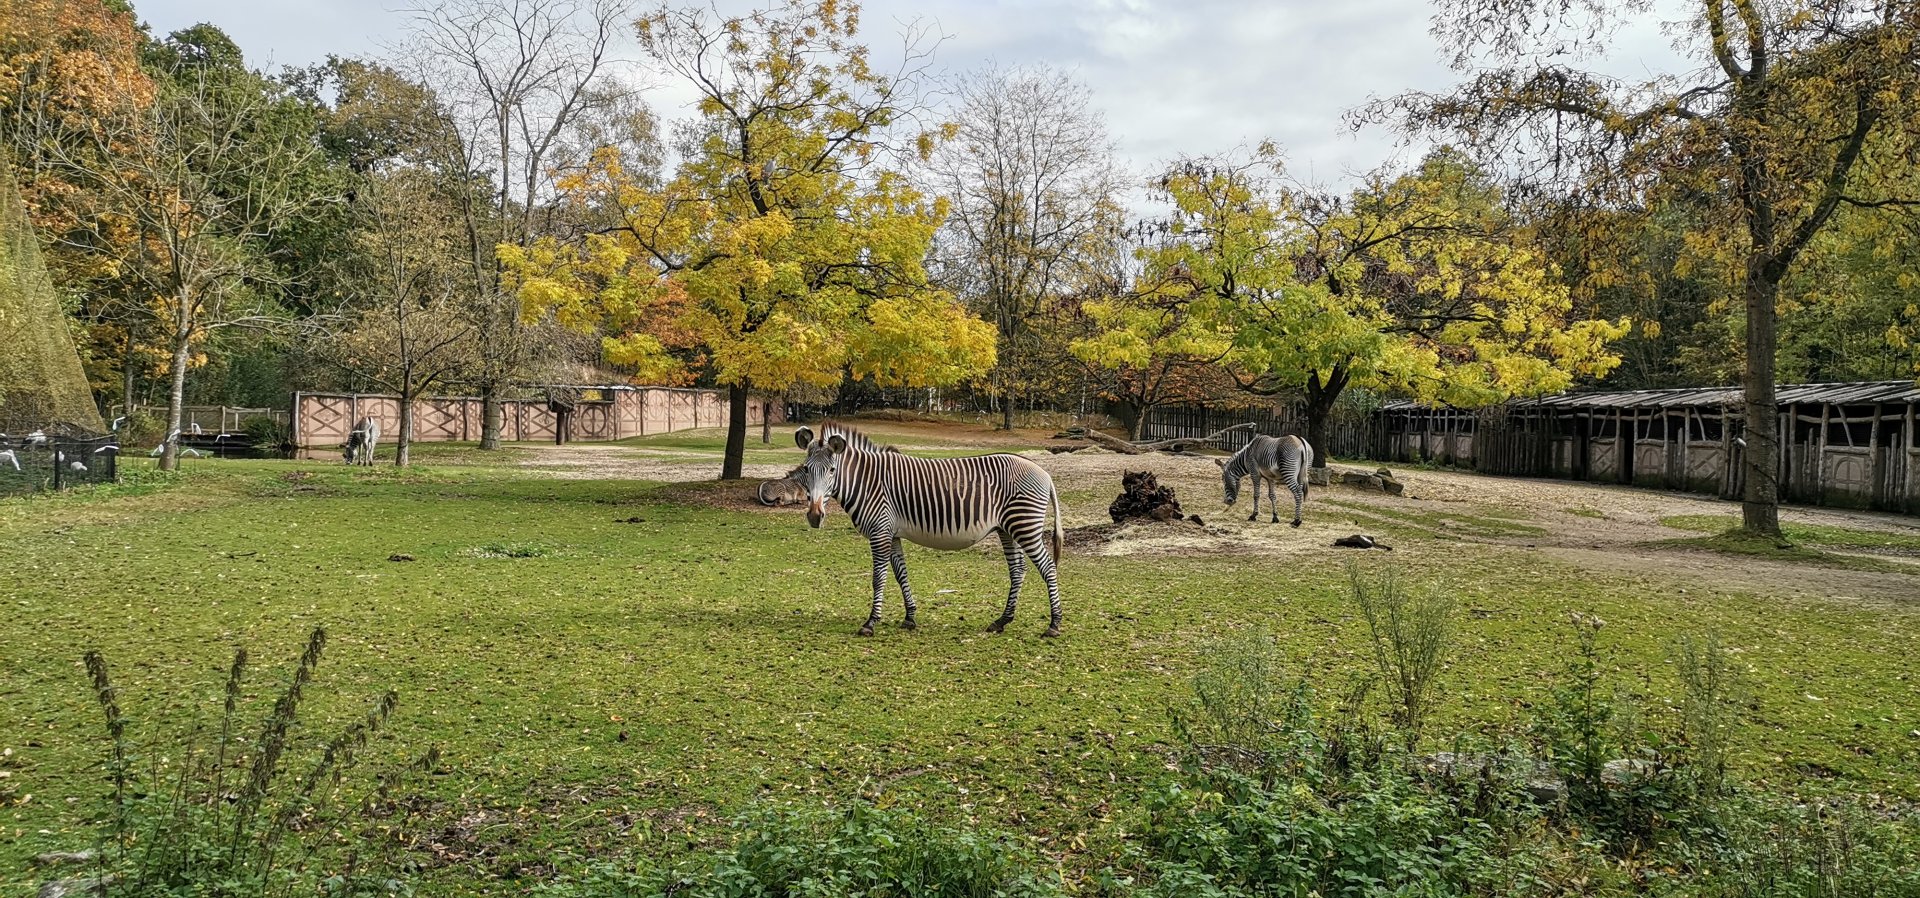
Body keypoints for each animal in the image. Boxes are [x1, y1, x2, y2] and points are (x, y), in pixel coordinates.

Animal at [793, 422, 1067, 638]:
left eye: (832, 470)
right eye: (806, 469)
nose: (814, 516)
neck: (868, 483)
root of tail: (1044, 472)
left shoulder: (880, 532)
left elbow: (878, 577)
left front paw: (871, 622)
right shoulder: (892, 533)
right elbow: (901, 574)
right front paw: (910, 617)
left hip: (1025, 525)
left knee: (1048, 568)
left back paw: (1054, 624)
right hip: (1008, 529)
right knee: (1018, 571)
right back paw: (1002, 621)